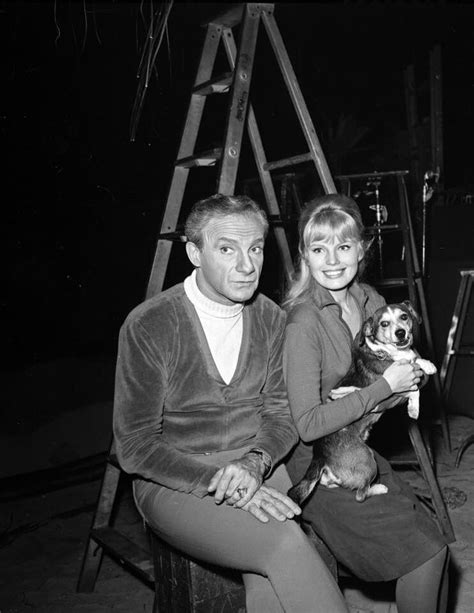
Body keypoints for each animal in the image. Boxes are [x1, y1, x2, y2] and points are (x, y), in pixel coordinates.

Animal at [286, 298, 436, 504]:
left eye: (404, 316)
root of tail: (320, 455)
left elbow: (415, 361)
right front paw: (414, 407)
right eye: (384, 323)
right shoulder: (396, 386)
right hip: (368, 459)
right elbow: (414, 385)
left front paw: (427, 364)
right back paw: (378, 488)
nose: (400, 333)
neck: (386, 352)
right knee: (360, 495)